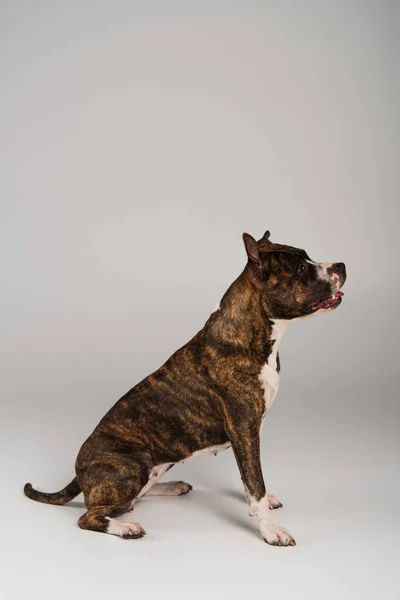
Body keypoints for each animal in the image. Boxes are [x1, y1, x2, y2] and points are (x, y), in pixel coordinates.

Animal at [24, 231, 346, 548]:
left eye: (307, 257)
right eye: (301, 268)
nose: (341, 265)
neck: (252, 332)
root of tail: (78, 472)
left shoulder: (250, 432)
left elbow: (250, 481)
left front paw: (266, 503)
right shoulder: (245, 429)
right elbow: (255, 482)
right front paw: (270, 530)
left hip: (155, 464)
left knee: (134, 496)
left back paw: (173, 487)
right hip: (135, 462)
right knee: (91, 516)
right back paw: (126, 527)